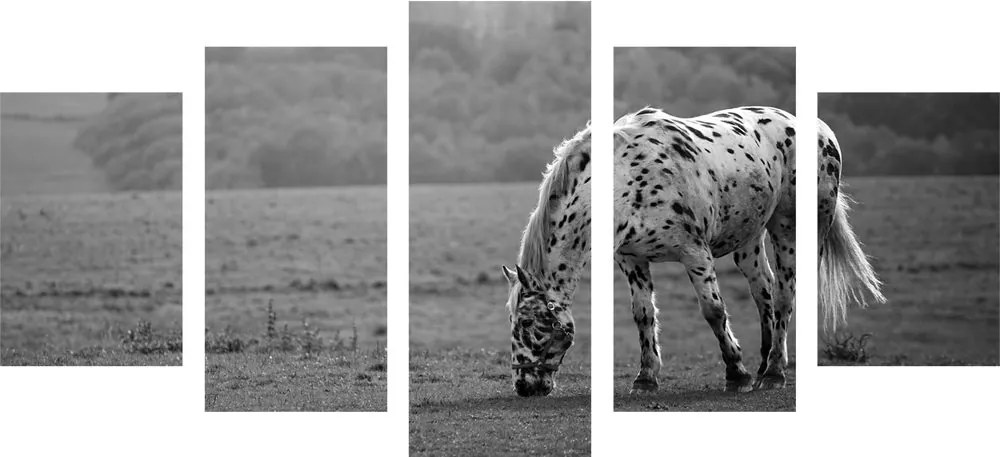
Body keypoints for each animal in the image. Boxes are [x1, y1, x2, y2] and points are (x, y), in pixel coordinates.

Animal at [612, 107, 800, 392]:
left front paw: (737, 373)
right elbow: (643, 314)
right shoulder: (631, 259)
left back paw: (775, 372)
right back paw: (764, 365)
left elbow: (713, 310)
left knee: (784, 294)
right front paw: (646, 377)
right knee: (763, 288)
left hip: (787, 227)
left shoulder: (695, 252)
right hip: (750, 237)